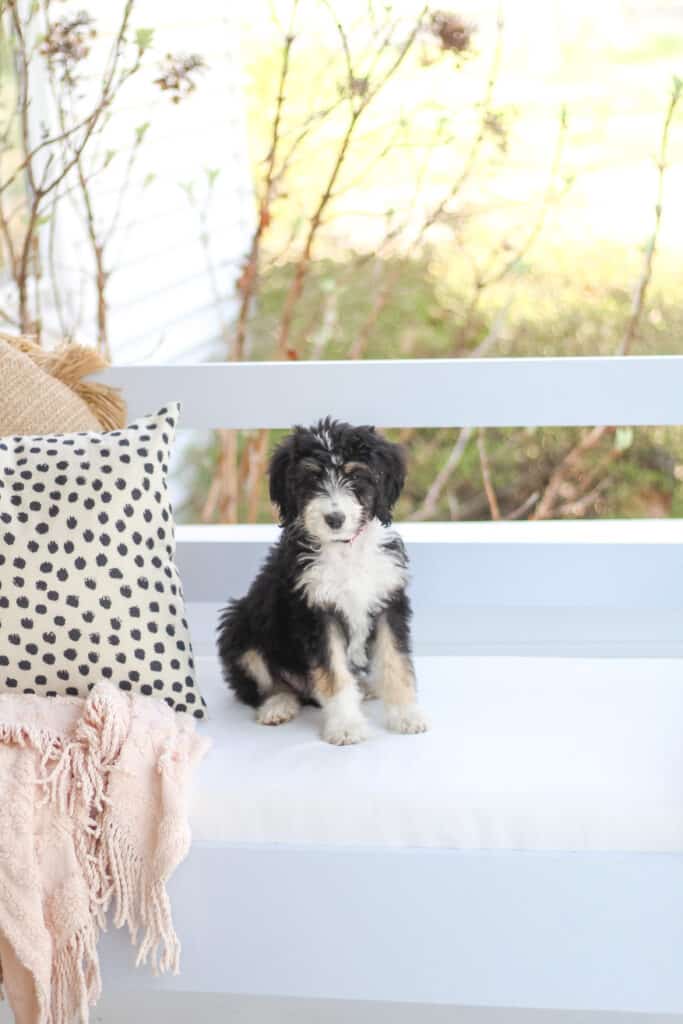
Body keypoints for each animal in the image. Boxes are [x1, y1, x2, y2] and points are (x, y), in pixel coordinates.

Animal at [216, 415, 430, 745]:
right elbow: (333, 673)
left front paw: (406, 715)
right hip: (240, 626)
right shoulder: (317, 613)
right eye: (311, 478)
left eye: (355, 476)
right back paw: (277, 705)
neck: (345, 549)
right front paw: (345, 725)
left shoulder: (388, 601)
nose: (335, 519)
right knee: (264, 685)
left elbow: (396, 661)